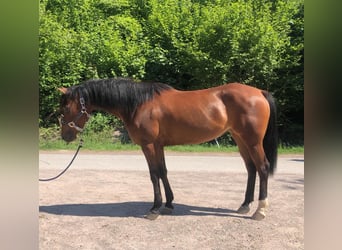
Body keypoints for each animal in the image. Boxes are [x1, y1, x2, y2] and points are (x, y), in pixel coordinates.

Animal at [58, 77, 278, 220]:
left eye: (66, 108)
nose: (65, 136)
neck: (139, 104)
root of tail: (259, 92)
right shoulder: (158, 145)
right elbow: (163, 171)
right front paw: (169, 204)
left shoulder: (148, 145)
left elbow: (154, 174)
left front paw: (155, 208)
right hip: (240, 139)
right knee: (251, 168)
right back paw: (245, 205)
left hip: (253, 141)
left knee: (262, 168)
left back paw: (260, 210)